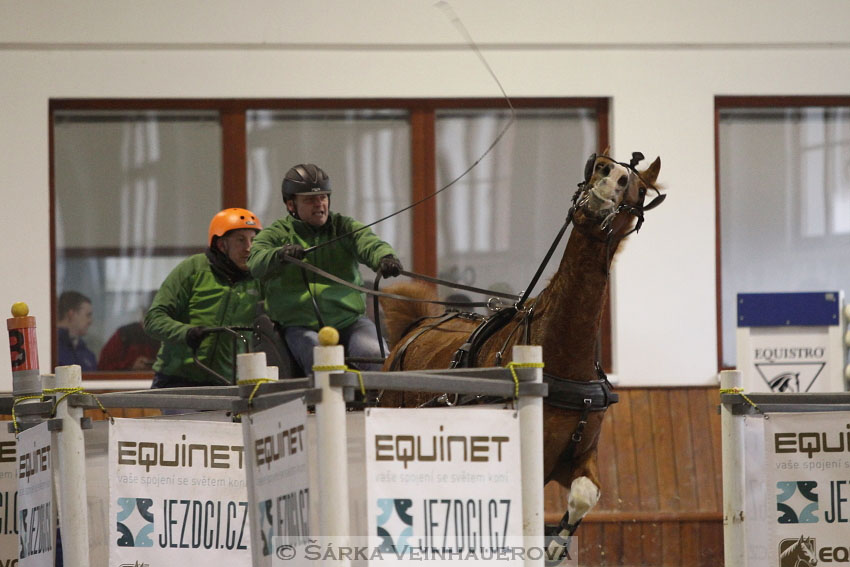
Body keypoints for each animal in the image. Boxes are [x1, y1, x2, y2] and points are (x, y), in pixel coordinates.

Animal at [378, 151, 664, 556]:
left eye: (639, 188)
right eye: (598, 167)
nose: (610, 177)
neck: (560, 354)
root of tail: (414, 329)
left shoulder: (576, 457)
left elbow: (584, 495)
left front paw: (555, 548)